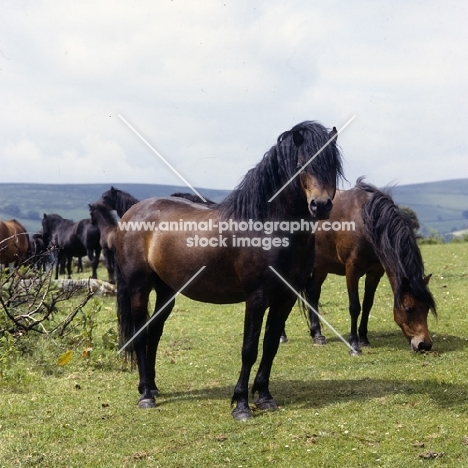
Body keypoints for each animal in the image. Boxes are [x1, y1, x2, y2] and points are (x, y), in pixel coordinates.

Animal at [116, 120, 344, 420]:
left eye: (333, 165)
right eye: (301, 163)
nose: (321, 206)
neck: (269, 228)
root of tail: (131, 213)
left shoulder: (286, 297)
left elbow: (270, 345)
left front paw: (264, 397)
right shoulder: (257, 296)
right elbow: (249, 349)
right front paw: (241, 405)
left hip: (167, 291)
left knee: (154, 332)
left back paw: (151, 387)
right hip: (139, 288)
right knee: (141, 335)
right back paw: (145, 397)